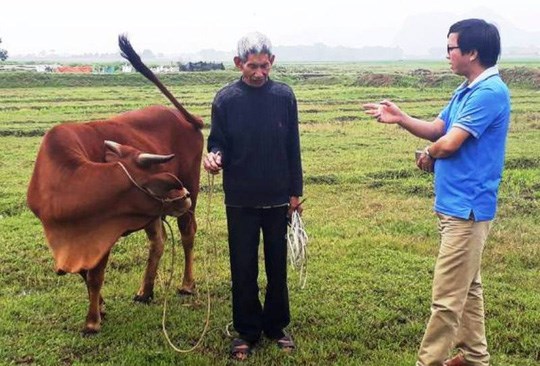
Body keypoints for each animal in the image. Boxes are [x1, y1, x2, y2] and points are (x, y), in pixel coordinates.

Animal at [25, 36, 202, 334]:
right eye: (157, 182)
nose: (184, 195)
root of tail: (188, 119)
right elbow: (84, 272)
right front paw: (102, 307)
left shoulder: (104, 231)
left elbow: (95, 275)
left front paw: (92, 321)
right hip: (154, 215)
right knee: (159, 242)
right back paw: (145, 291)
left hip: (192, 188)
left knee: (187, 234)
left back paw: (187, 284)